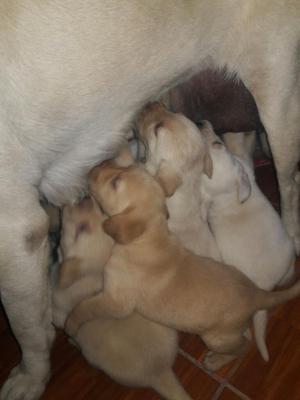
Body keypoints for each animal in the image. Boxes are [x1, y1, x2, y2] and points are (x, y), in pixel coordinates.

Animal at [50, 197, 190, 400]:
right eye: (101, 211)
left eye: (82, 228)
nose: (85, 197)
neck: (93, 277)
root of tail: (161, 371)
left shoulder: (59, 313)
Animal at [66, 162, 300, 372]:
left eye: (116, 182)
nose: (94, 166)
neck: (147, 239)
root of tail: (256, 293)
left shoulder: (115, 301)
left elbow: (85, 306)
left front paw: (71, 324)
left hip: (216, 337)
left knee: (244, 346)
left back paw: (216, 361)